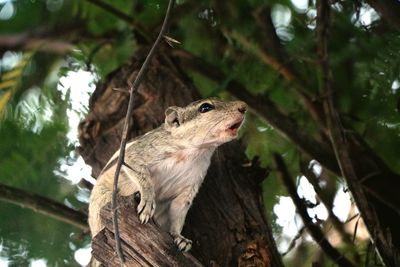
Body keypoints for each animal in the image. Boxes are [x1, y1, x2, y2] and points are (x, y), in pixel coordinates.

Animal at [88, 99, 247, 253]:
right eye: (205, 107)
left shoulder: (189, 188)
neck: (195, 151)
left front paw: (179, 237)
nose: (243, 106)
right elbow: (140, 172)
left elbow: (178, 212)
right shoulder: (139, 152)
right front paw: (147, 200)